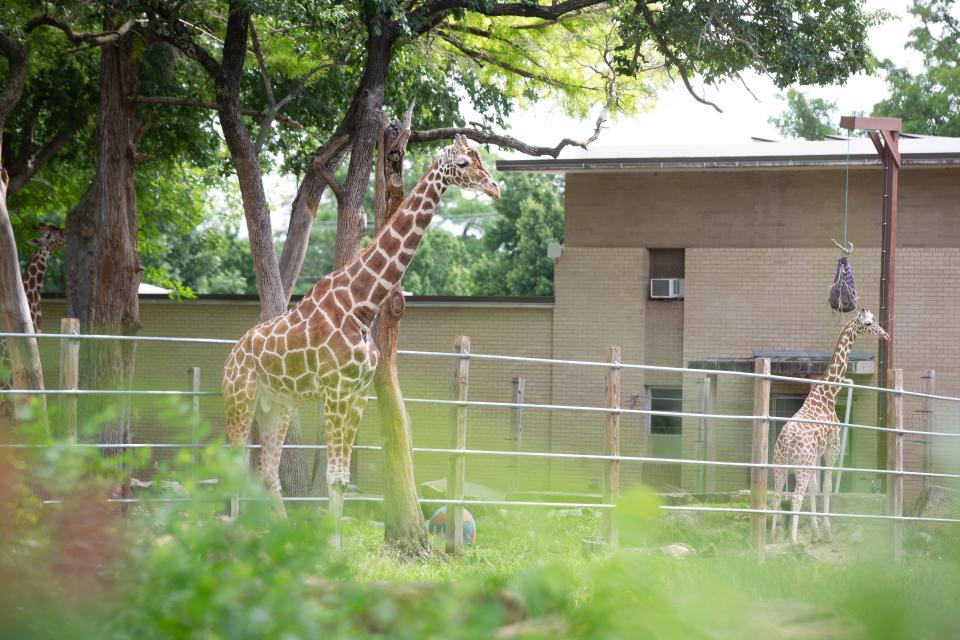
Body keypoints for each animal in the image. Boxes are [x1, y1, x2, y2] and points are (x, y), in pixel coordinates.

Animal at [221, 138, 498, 544]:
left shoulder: (357, 393)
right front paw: (333, 546)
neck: (362, 305)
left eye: (481, 158)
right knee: (236, 462)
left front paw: (332, 547)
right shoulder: (336, 391)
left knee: (267, 471)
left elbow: (341, 478)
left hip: (276, 405)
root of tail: (232, 354)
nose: (494, 188)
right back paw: (235, 534)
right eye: (463, 163)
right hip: (239, 397)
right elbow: (335, 477)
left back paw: (278, 533)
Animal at [768, 310, 888, 544]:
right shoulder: (834, 445)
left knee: (777, 495)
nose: (886, 335)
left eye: (876, 320)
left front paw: (815, 532)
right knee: (795, 497)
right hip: (800, 465)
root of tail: (786, 441)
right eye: (869, 323)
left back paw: (772, 538)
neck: (829, 395)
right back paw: (793, 541)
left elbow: (815, 488)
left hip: (780, 463)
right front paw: (827, 532)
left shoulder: (817, 452)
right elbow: (827, 487)